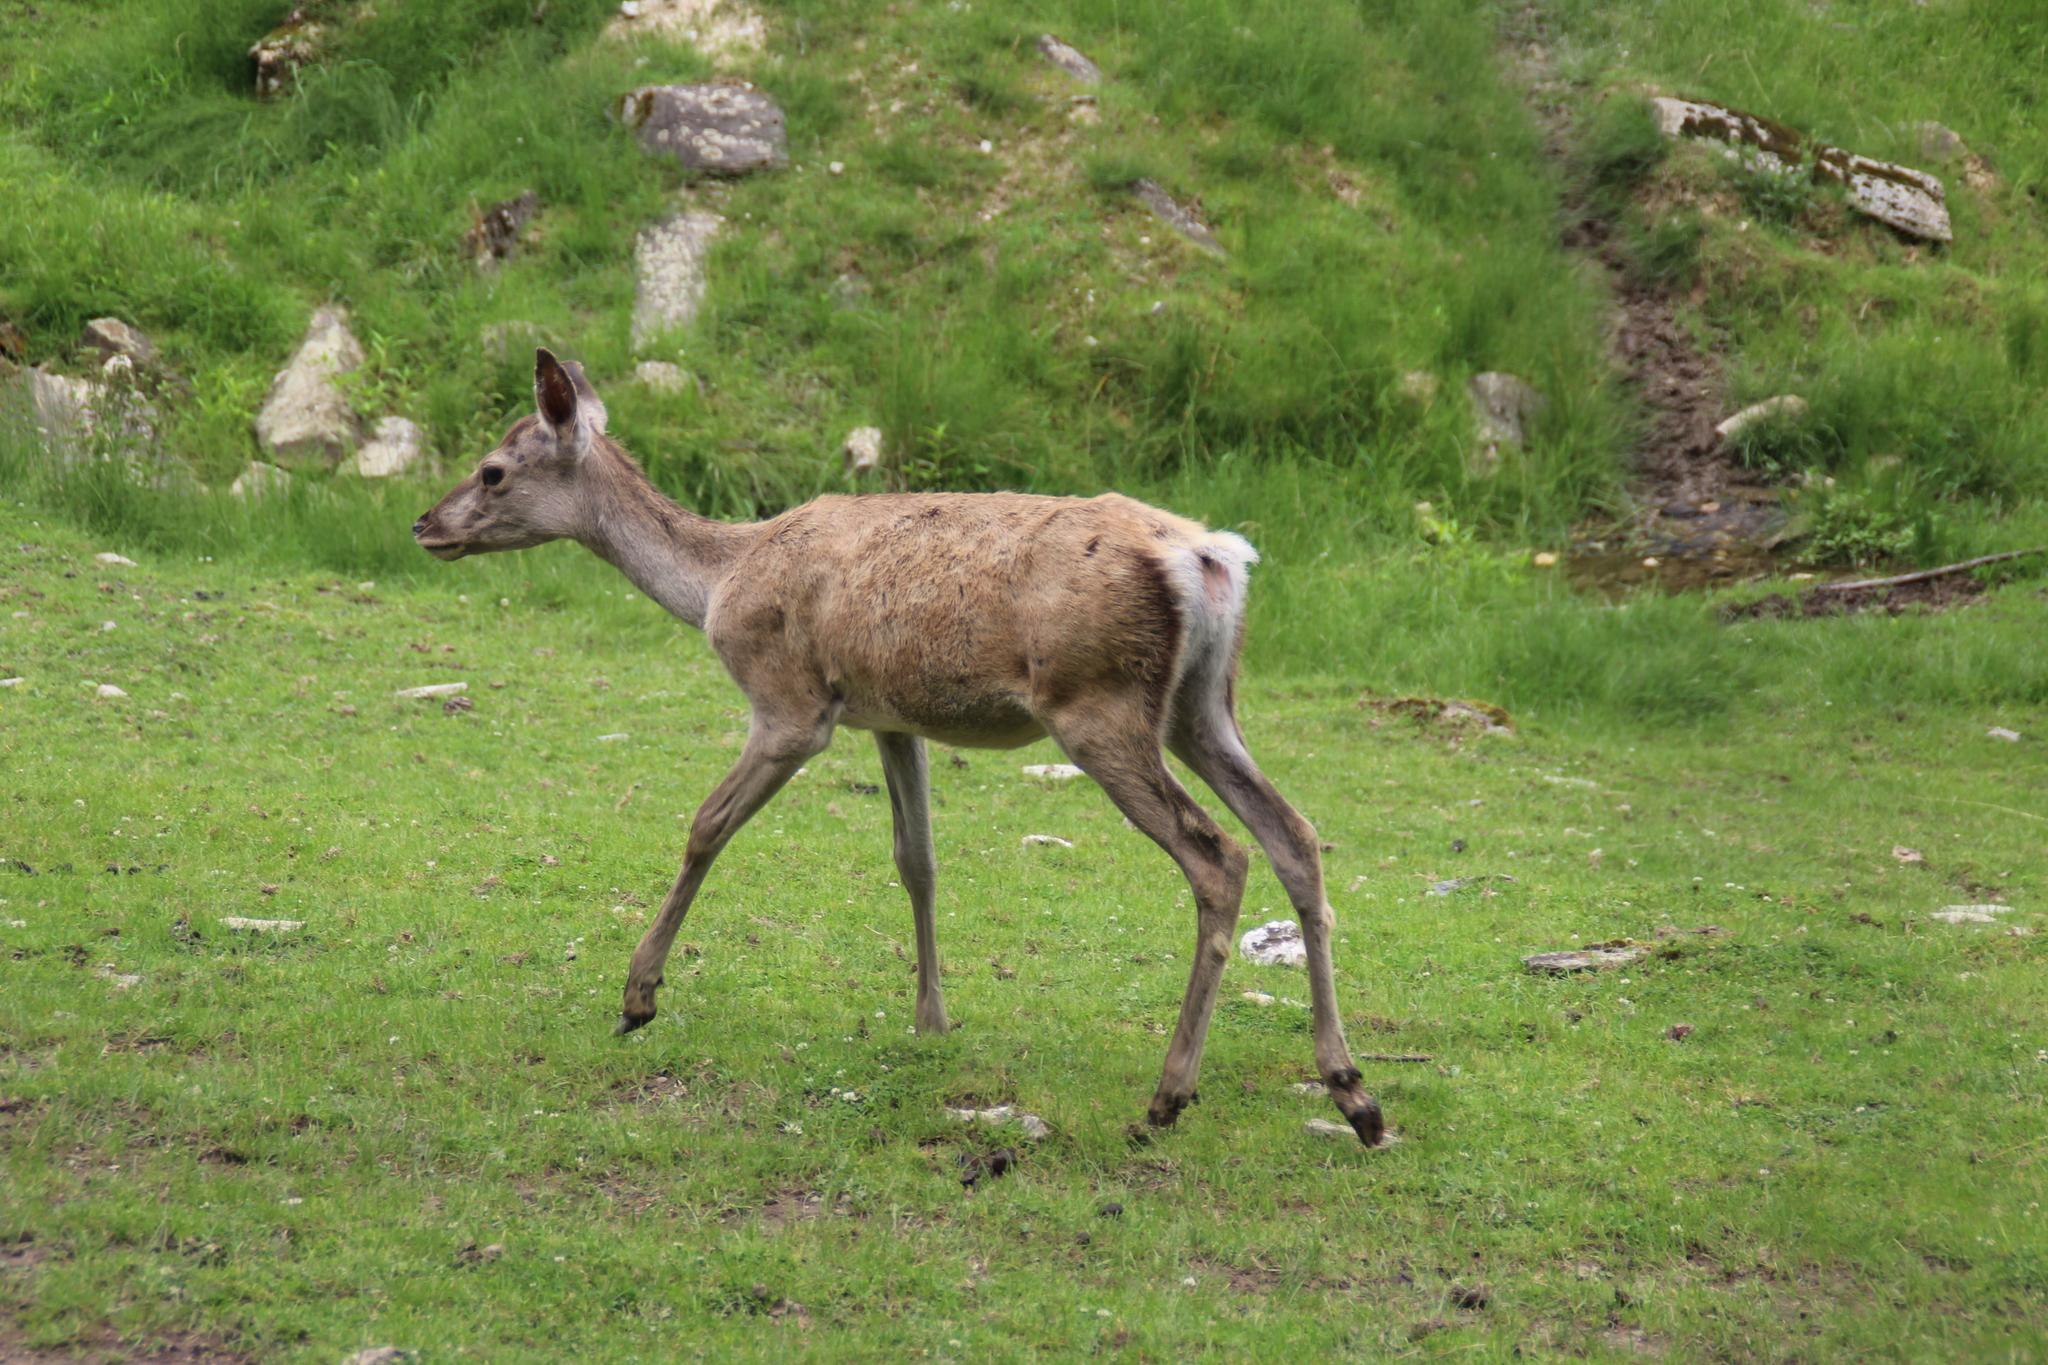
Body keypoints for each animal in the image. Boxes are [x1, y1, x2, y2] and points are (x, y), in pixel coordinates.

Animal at [413, 349, 1386, 1146]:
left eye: (493, 469)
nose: (425, 524)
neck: (718, 582)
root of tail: (1212, 559)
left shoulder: (790, 704)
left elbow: (705, 825)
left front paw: (637, 995)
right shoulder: (890, 717)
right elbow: (916, 860)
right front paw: (932, 1018)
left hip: (1098, 704)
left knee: (1219, 854)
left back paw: (1169, 1094)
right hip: (1201, 704)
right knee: (1295, 835)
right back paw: (1352, 1089)